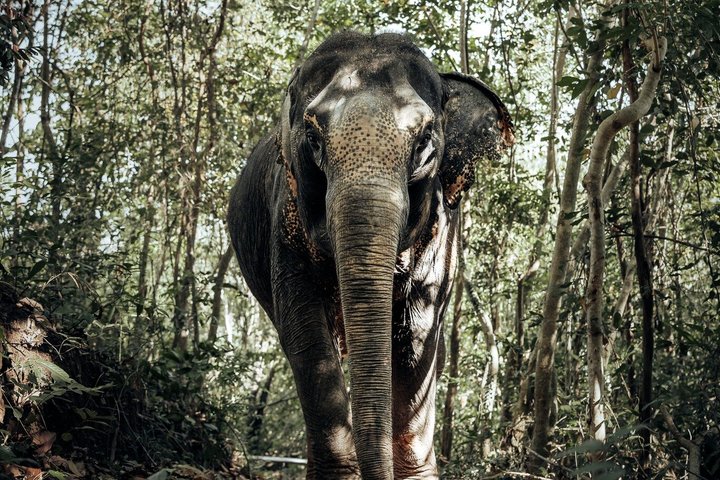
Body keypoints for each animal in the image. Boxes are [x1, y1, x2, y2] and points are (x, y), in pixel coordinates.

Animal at [228, 31, 513, 479]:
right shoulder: (283, 218)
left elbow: (416, 338)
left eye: (425, 141)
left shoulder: (441, 230)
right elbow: (306, 335)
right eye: (313, 137)